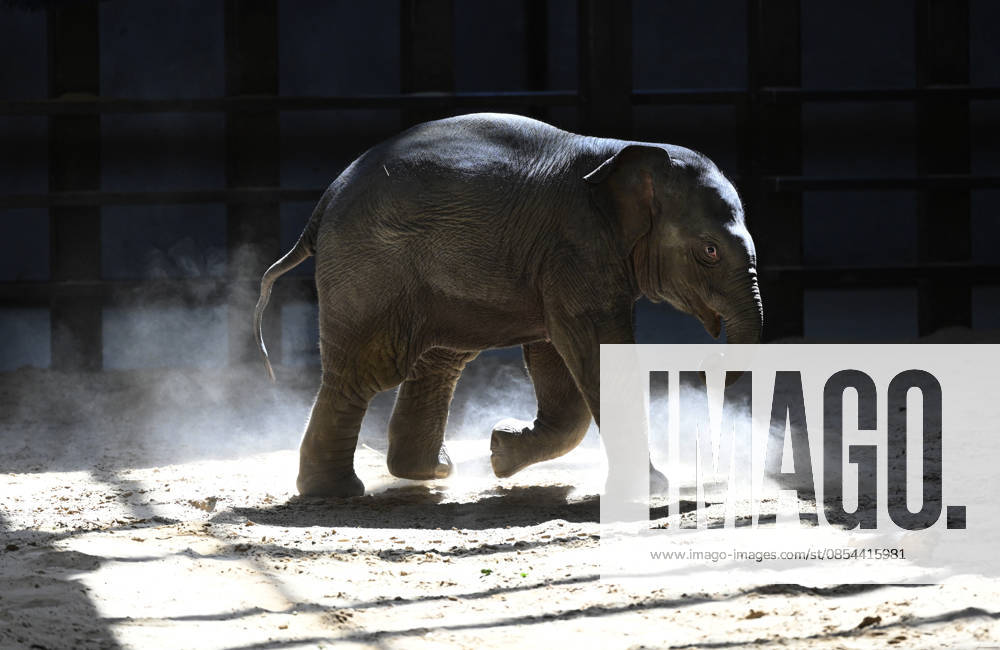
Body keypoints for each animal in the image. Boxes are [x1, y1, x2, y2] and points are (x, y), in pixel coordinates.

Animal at [253, 112, 762, 498]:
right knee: (369, 371)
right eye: (710, 251)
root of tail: (322, 204)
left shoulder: (563, 261)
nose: (705, 366)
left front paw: (500, 453)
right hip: (371, 267)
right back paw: (337, 492)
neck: (623, 152)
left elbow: (558, 358)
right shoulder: (576, 248)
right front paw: (653, 489)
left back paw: (431, 472)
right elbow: (593, 351)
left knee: (440, 361)